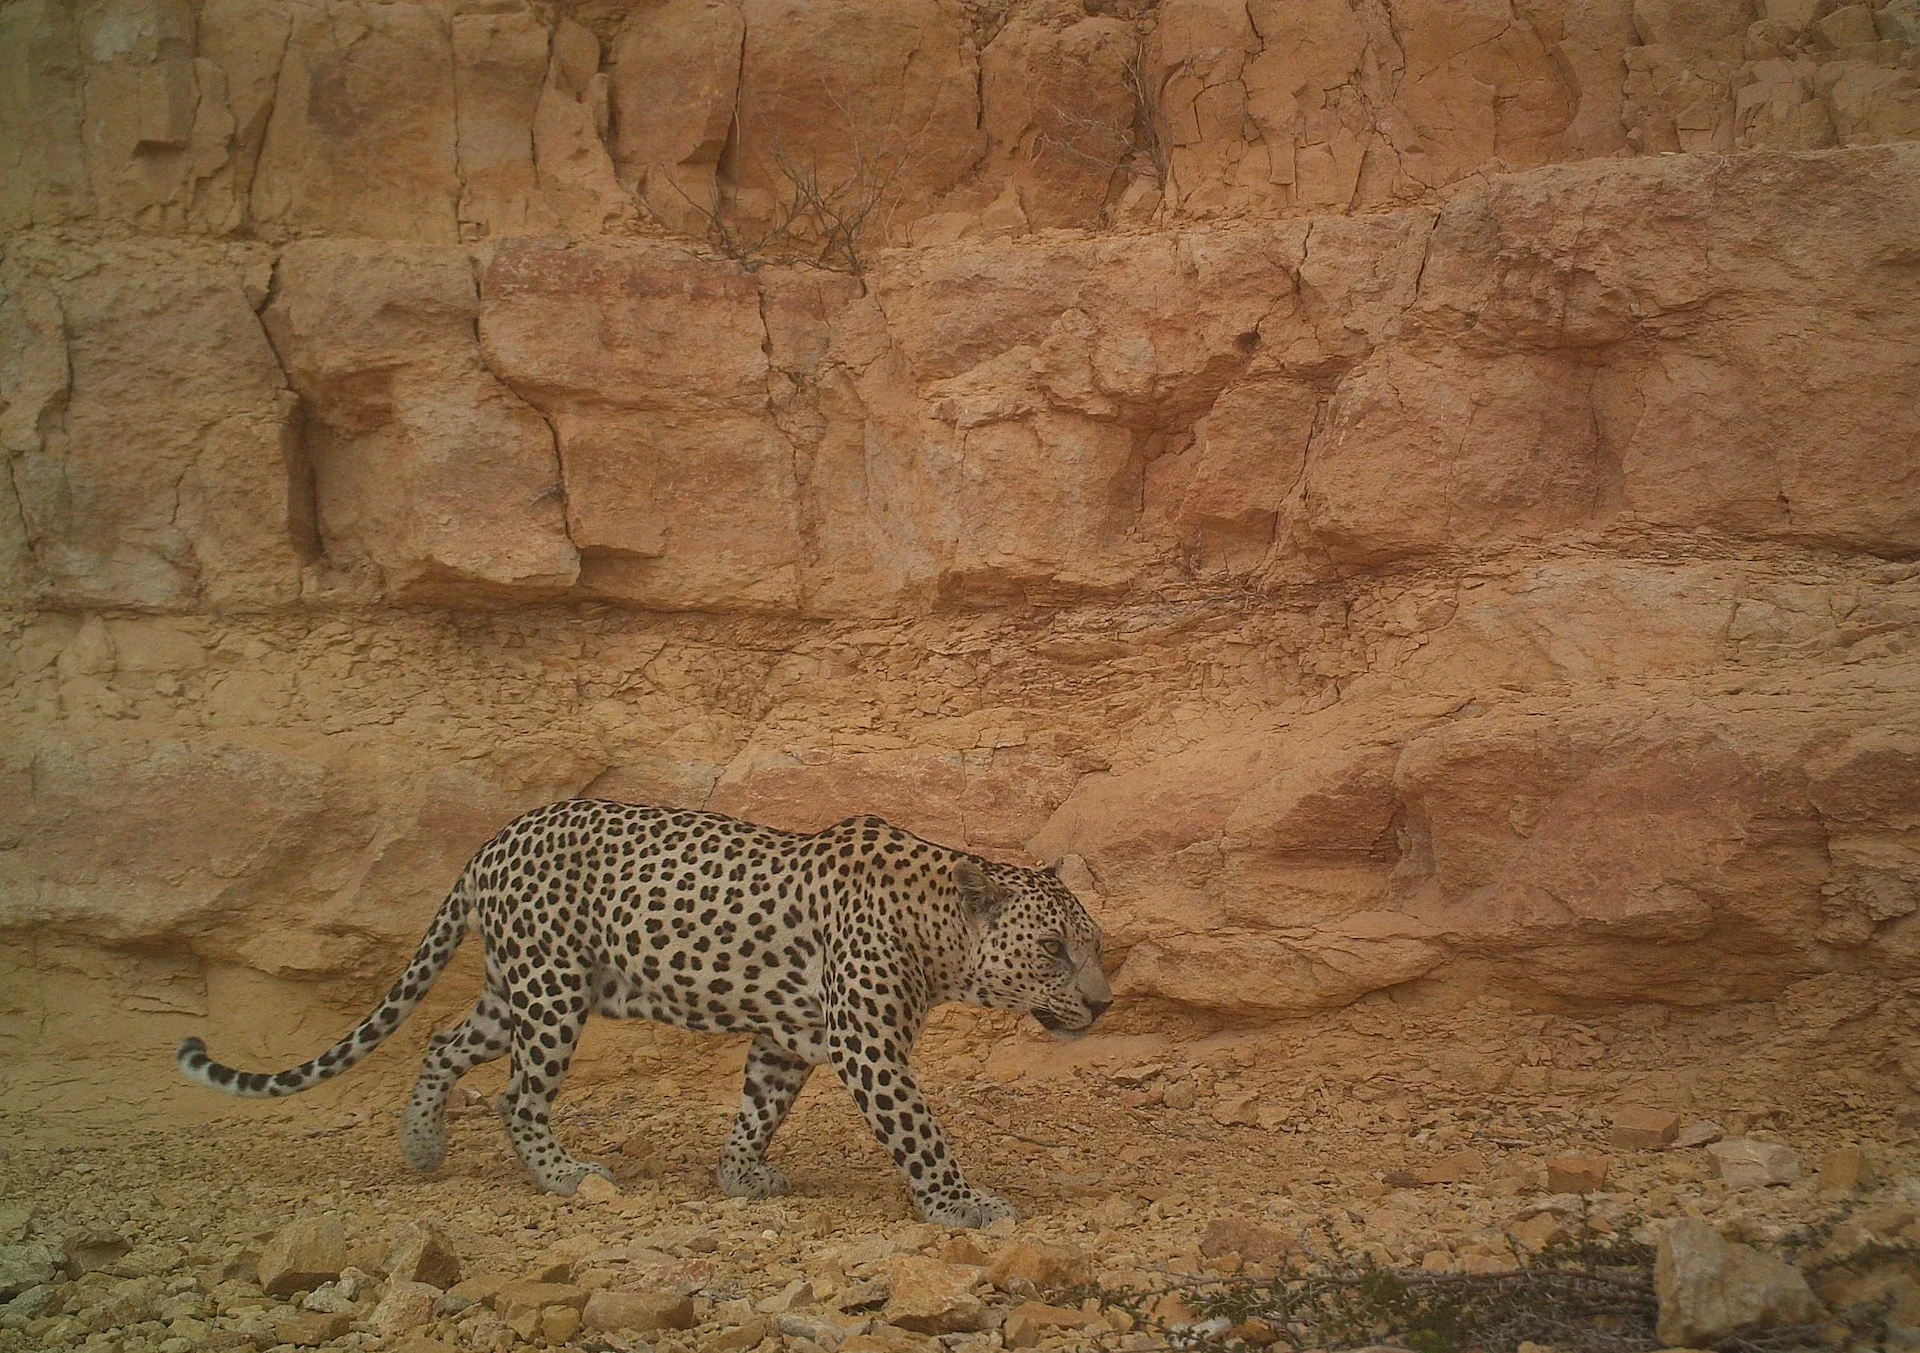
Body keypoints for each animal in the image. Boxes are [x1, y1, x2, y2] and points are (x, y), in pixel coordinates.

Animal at [176, 800, 1111, 1227]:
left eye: (1092, 945)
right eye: (1055, 950)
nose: (1103, 1000)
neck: (935, 926)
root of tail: (490, 842)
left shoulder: (787, 1037)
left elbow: (757, 1110)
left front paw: (739, 1175)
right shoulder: (868, 1048)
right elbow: (920, 1131)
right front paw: (961, 1204)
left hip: (516, 991)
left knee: (441, 1041)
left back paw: (422, 1145)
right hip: (550, 993)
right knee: (517, 1095)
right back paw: (564, 1174)